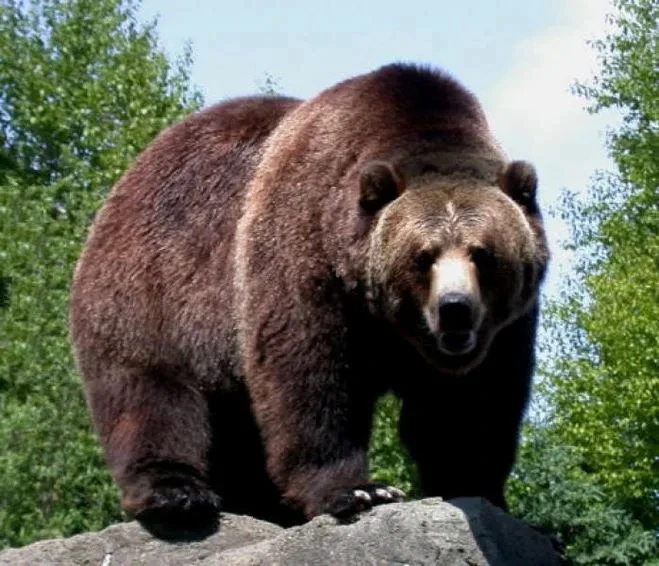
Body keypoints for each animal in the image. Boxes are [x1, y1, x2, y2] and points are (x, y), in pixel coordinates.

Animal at [69, 62, 549, 540]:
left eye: (483, 253)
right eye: (422, 256)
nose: (454, 308)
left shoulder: (506, 328)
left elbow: (473, 403)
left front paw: (480, 491)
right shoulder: (304, 255)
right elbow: (308, 375)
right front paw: (360, 490)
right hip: (157, 286)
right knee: (151, 392)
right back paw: (176, 494)